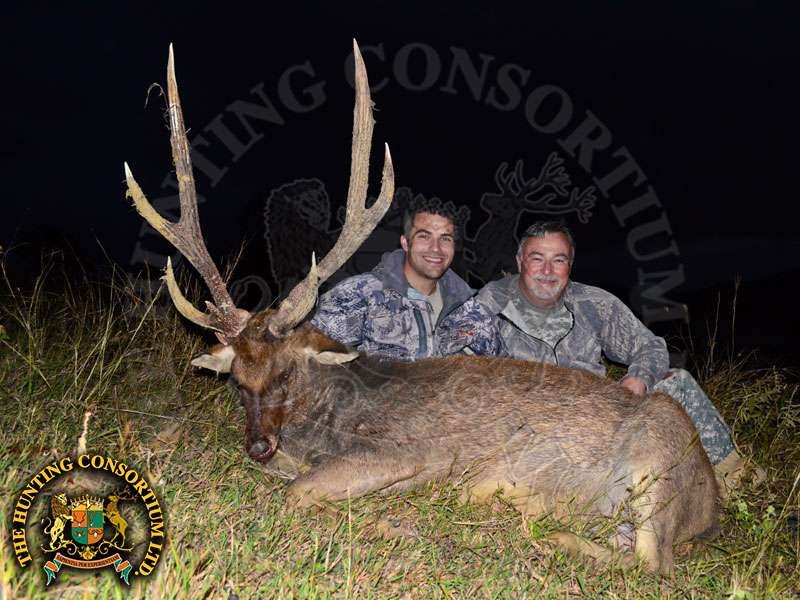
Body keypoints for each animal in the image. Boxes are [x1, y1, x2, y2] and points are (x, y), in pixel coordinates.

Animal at [123, 41, 720, 575]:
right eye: (236, 380)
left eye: (287, 372)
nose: (257, 446)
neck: (333, 415)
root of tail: (711, 510)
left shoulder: (405, 454)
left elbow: (297, 493)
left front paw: (391, 524)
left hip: (656, 469)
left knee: (655, 564)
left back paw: (542, 532)